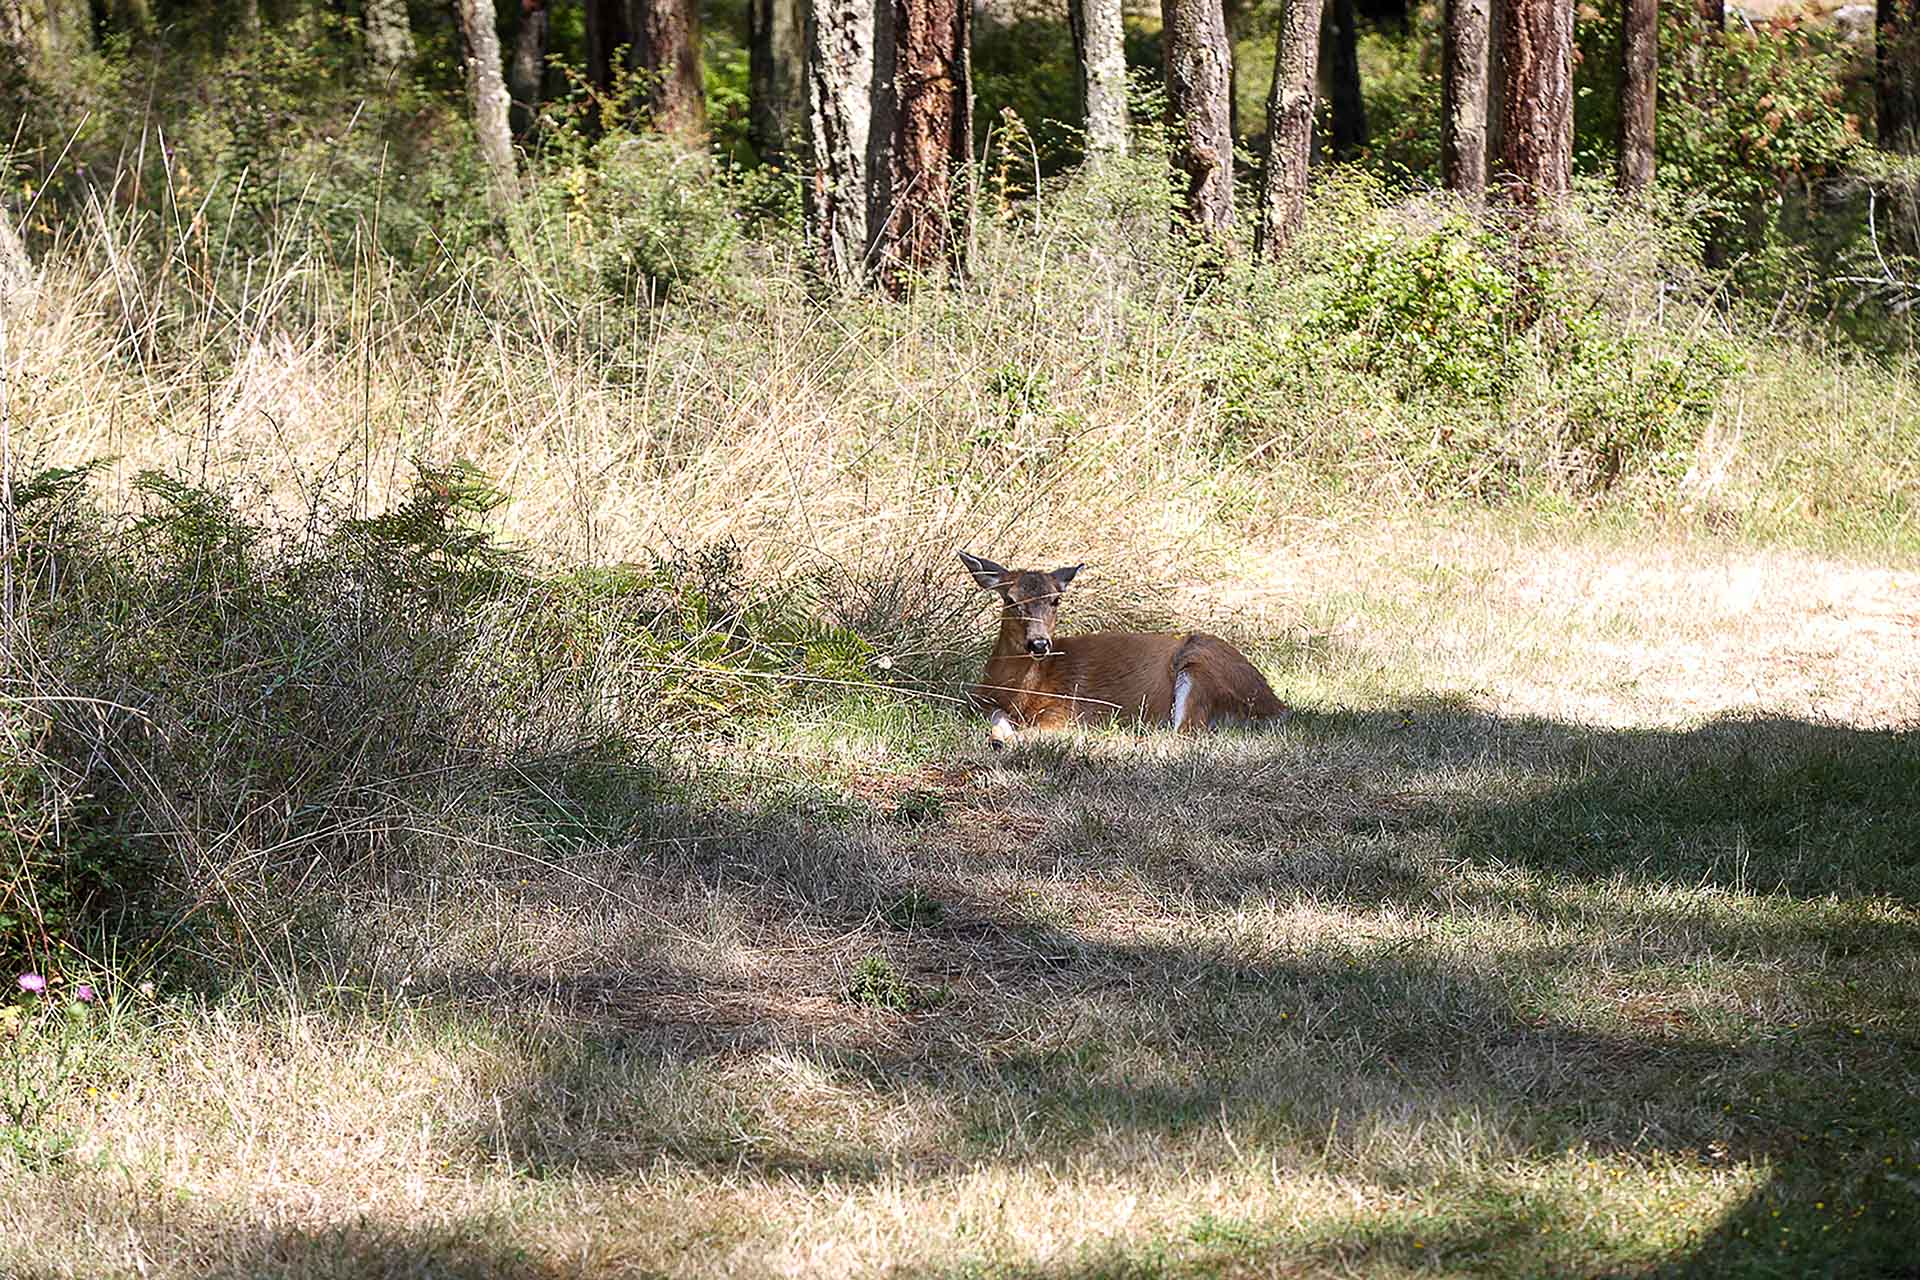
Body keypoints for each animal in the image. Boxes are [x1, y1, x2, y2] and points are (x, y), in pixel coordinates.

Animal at [960, 552, 1290, 752]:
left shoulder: (1064, 710)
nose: (1039, 644)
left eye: (1055, 600)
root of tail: (1277, 705)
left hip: (1200, 667)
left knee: (1184, 734)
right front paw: (997, 737)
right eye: (1011, 599)